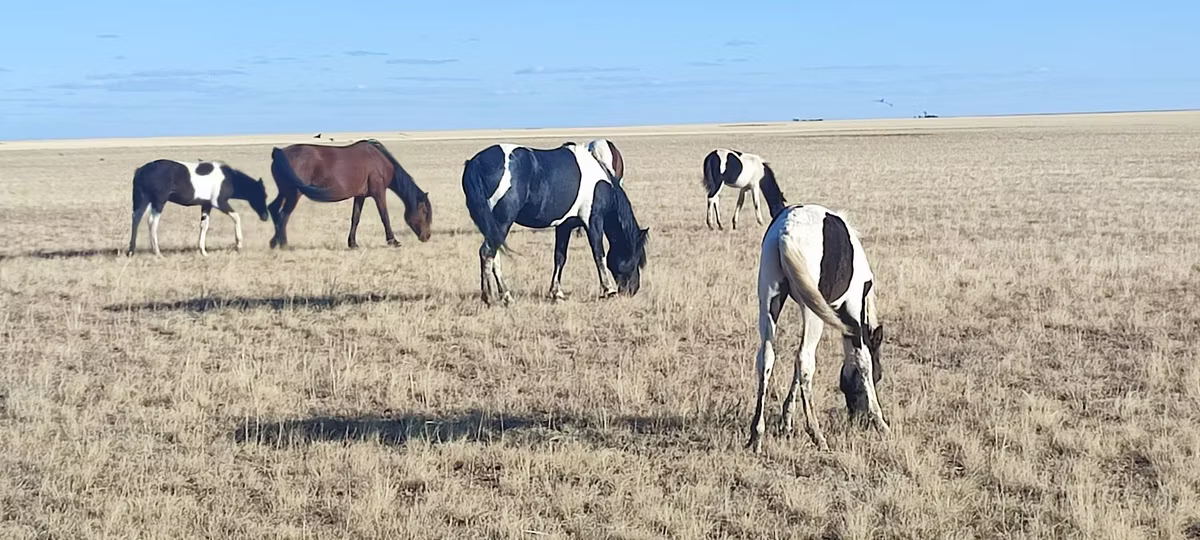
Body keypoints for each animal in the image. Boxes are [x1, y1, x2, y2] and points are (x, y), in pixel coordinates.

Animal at [126, 159, 269, 257]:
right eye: (260, 194)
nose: (265, 216)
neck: (230, 179)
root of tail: (140, 170)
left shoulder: (207, 205)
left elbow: (204, 225)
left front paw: (203, 251)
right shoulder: (219, 203)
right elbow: (237, 217)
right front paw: (238, 245)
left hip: (143, 200)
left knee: (136, 219)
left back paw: (131, 251)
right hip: (159, 202)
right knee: (152, 222)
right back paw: (157, 252)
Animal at [267, 139, 432, 249]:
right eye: (424, 212)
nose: (427, 237)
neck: (379, 160)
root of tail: (279, 152)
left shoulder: (360, 196)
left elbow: (355, 219)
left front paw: (352, 243)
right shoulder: (378, 192)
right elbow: (385, 216)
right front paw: (393, 241)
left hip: (284, 192)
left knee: (274, 209)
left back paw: (274, 243)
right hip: (293, 194)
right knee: (283, 215)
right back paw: (284, 244)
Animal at [461, 141, 649, 306]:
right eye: (636, 257)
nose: (633, 290)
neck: (601, 181)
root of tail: (475, 163)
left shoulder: (564, 225)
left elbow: (560, 257)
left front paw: (556, 293)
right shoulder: (593, 220)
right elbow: (598, 254)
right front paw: (608, 290)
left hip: (493, 226)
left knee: (494, 255)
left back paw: (506, 296)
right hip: (502, 221)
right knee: (487, 253)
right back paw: (489, 297)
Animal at [747, 171, 888, 453]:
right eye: (879, 376)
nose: (857, 421)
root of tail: (787, 230)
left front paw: (786, 421)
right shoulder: (852, 314)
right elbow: (862, 359)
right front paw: (881, 422)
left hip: (769, 301)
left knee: (767, 357)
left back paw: (757, 434)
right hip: (812, 314)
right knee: (804, 360)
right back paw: (817, 434)